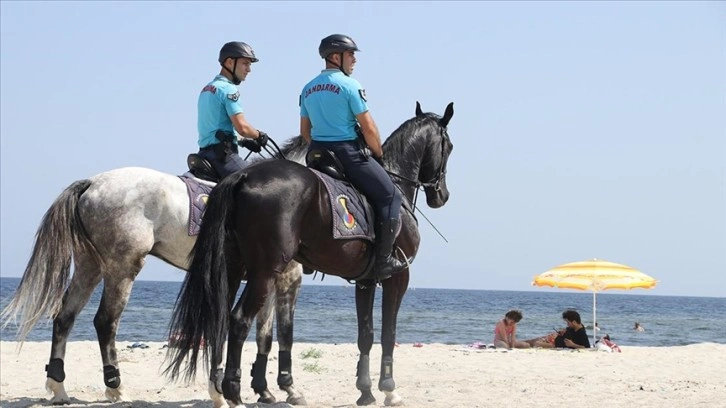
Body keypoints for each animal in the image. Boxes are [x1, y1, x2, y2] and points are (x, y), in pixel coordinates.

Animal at [0, 136, 310, 404]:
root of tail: (92, 183)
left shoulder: (266, 280)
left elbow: (264, 336)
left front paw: (263, 391)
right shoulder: (287, 278)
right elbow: (285, 332)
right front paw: (289, 389)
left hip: (90, 266)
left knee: (65, 316)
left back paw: (59, 388)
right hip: (123, 267)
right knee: (105, 321)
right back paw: (115, 387)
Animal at [168, 101, 458, 404]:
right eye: (449, 147)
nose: (442, 195)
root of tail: (244, 175)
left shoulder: (366, 281)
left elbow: (365, 334)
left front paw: (365, 391)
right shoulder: (398, 277)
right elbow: (388, 333)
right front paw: (389, 390)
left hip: (233, 268)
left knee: (221, 317)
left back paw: (218, 391)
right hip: (263, 273)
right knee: (238, 320)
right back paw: (233, 393)